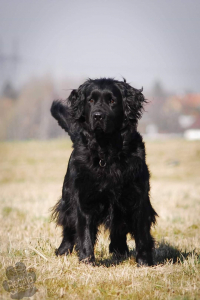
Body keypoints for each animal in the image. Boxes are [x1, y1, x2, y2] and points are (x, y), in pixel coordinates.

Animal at [50, 78, 157, 266]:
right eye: (90, 100)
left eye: (112, 101)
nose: (98, 116)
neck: (106, 150)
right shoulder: (84, 198)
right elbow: (84, 232)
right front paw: (87, 262)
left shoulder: (138, 197)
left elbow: (142, 234)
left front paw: (144, 262)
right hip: (68, 197)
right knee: (69, 227)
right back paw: (63, 251)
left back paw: (119, 251)